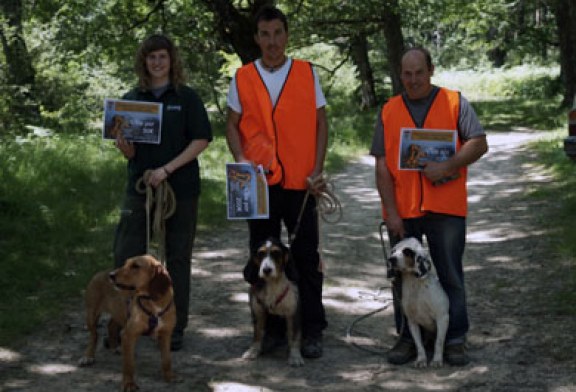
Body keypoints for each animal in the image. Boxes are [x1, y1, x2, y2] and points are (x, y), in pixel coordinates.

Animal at [79, 256, 177, 390]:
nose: (111, 275)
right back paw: (88, 356)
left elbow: (167, 359)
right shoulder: (128, 334)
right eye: (125, 263)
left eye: (136, 266)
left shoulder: (166, 334)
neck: (153, 302)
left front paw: (169, 376)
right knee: (94, 335)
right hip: (92, 313)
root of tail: (101, 272)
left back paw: (115, 347)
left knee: (111, 325)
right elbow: (129, 364)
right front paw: (129, 384)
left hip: (119, 313)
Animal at [243, 236, 306, 368]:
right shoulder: (258, 312)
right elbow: (257, 334)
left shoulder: (293, 313)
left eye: (276, 253)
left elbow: (294, 336)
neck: (273, 282)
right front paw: (253, 351)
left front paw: (295, 356)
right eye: (260, 253)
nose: (267, 270)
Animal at [388, 237, 450, 370]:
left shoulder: (442, 318)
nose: (391, 259)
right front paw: (421, 360)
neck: (415, 286)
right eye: (393, 251)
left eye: (407, 251)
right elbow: (419, 346)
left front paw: (437, 360)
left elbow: (439, 342)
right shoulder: (412, 322)